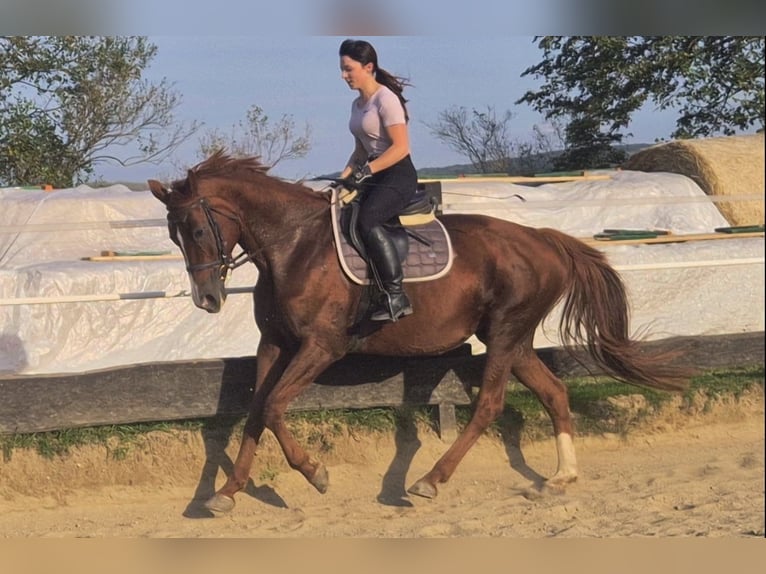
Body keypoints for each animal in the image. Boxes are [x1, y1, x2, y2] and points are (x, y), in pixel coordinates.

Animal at [147, 151, 692, 516]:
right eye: (174, 235)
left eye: (198, 230)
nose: (207, 300)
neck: (294, 244)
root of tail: (543, 239)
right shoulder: (274, 345)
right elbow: (258, 410)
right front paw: (226, 492)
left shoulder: (321, 346)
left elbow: (277, 406)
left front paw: (316, 473)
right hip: (512, 339)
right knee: (554, 392)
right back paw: (559, 478)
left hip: (504, 333)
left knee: (490, 403)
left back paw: (431, 480)